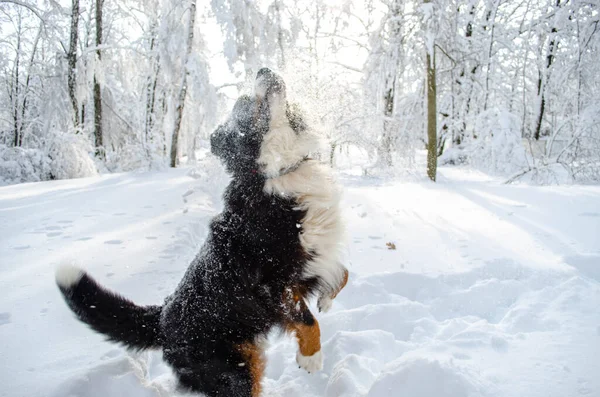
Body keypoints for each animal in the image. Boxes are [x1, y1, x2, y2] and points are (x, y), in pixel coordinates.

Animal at [57, 68, 346, 396]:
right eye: (244, 107)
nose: (262, 70)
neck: (275, 173)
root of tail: (162, 319)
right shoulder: (271, 283)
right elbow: (306, 320)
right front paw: (311, 357)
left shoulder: (313, 256)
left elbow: (343, 273)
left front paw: (327, 297)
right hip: (235, 371)